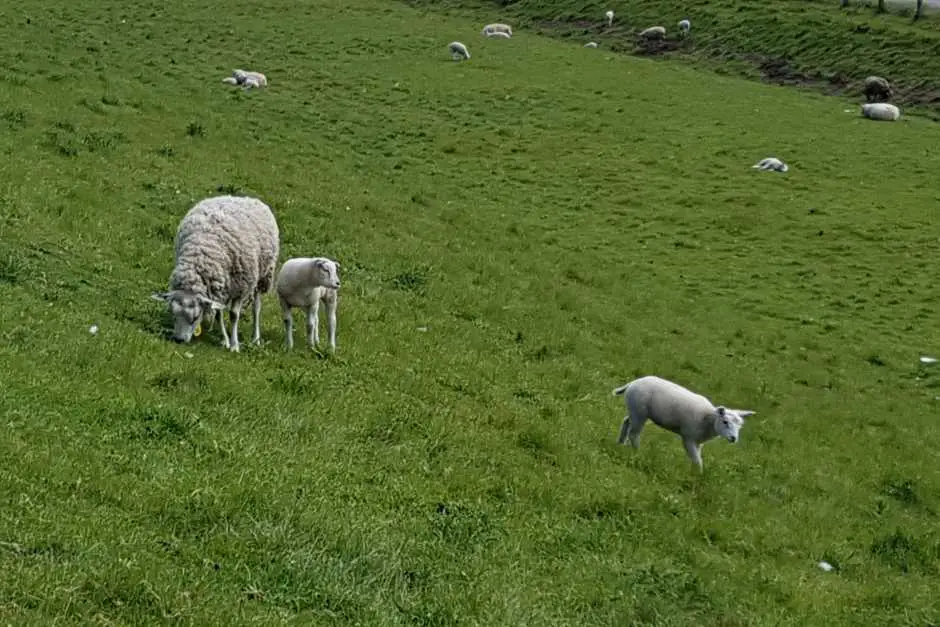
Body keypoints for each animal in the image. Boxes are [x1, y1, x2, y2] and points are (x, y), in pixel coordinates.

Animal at [151, 196, 280, 354]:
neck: (201, 253)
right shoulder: (217, 288)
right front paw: (225, 341)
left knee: (256, 308)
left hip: (262, 275)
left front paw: (234, 345)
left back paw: (256, 338)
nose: (179, 340)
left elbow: (234, 315)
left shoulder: (241, 287)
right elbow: (218, 314)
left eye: (195, 317)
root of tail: (245, 198)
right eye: (172, 315)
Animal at [608, 378, 756, 472]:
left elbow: (697, 458)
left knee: (626, 422)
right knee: (634, 434)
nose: (733, 438)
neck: (707, 420)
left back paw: (620, 443)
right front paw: (698, 476)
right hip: (639, 411)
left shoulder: (698, 442)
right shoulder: (688, 438)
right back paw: (637, 452)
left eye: (740, 426)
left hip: (635, 411)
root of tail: (633, 383)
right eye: (725, 422)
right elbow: (697, 460)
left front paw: (694, 473)